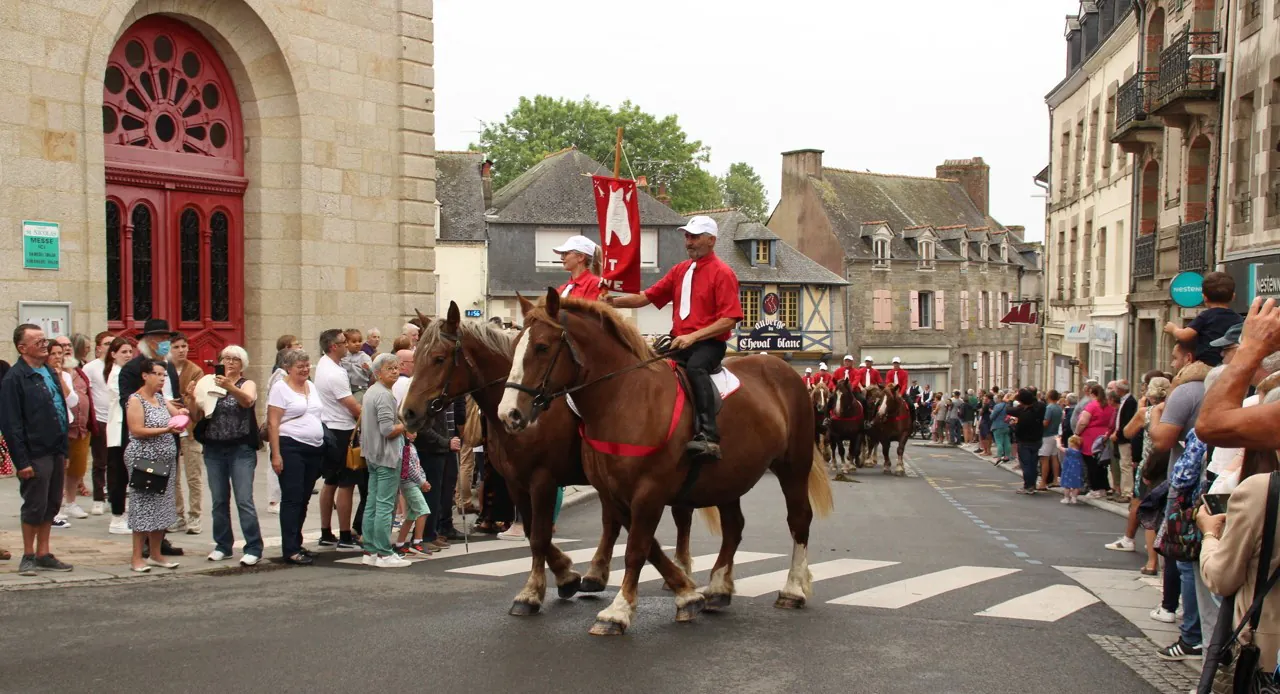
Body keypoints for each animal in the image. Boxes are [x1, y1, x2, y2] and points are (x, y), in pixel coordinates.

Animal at [399, 302, 701, 617]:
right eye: (415, 357)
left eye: (439, 359)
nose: (407, 413)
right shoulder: (515, 481)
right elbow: (533, 531)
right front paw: (565, 575)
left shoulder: (542, 480)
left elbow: (540, 536)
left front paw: (534, 592)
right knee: (613, 521)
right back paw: (598, 574)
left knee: (679, 517)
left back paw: (680, 570)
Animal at [494, 290, 834, 640]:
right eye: (516, 343)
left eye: (542, 347)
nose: (509, 414)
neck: (624, 398)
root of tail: (781, 367)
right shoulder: (615, 493)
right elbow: (647, 546)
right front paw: (686, 594)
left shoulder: (646, 491)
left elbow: (636, 549)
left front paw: (617, 611)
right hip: (730, 477)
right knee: (734, 527)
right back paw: (717, 589)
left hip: (793, 467)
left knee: (798, 520)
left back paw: (793, 589)